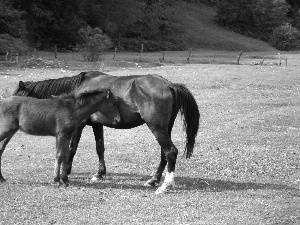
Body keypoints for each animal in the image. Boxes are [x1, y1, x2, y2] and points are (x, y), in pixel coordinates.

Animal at [13, 71, 199, 193]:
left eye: (18, 94)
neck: (80, 89)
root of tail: (169, 85)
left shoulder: (79, 126)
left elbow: (71, 149)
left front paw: (67, 172)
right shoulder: (97, 125)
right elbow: (100, 148)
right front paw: (100, 173)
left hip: (157, 128)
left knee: (170, 151)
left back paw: (165, 185)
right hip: (164, 128)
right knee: (164, 154)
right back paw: (153, 180)